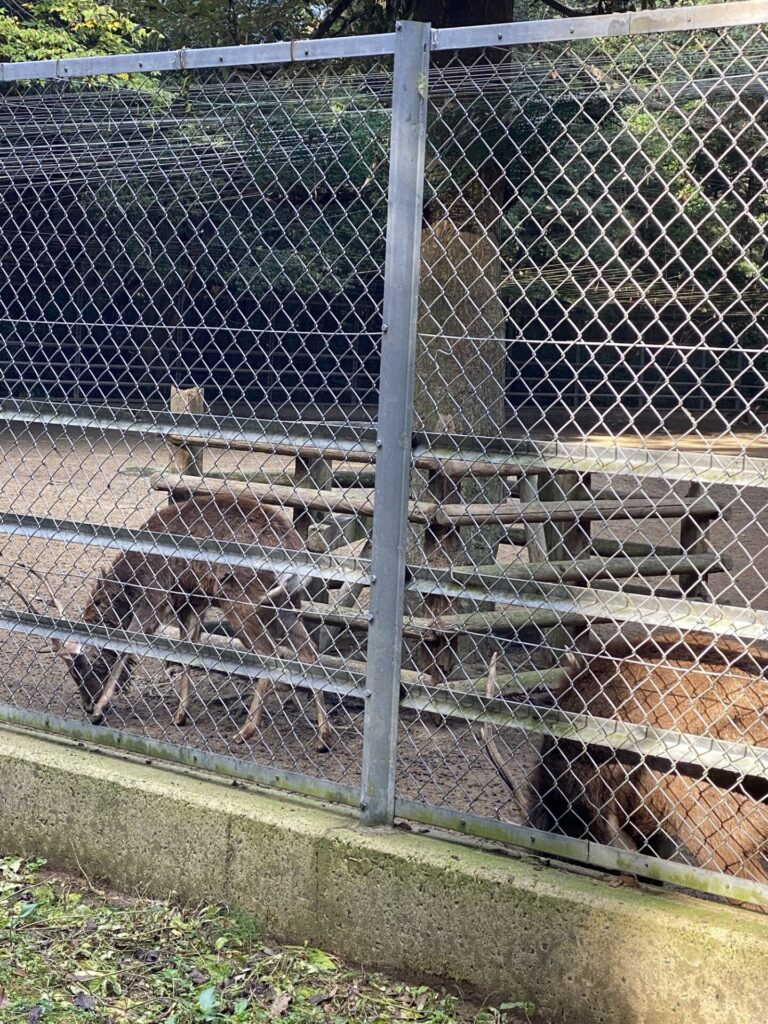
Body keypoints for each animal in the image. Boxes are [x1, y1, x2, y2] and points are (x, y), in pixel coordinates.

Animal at [6, 491, 331, 749]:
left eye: (82, 672)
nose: (86, 705)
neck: (130, 584)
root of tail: (296, 554)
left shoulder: (154, 599)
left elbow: (128, 646)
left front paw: (101, 709)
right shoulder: (191, 603)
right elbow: (187, 652)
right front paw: (180, 715)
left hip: (242, 600)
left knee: (271, 654)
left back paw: (245, 731)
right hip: (286, 604)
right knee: (309, 653)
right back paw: (323, 737)